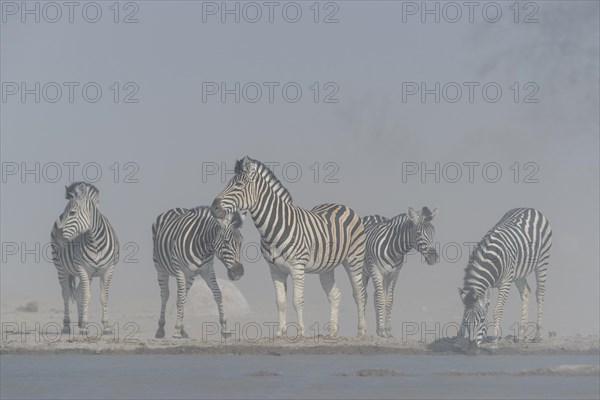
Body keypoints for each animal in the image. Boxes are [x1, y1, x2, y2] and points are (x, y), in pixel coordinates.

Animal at [50, 182, 119, 334]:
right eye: (65, 212)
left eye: (72, 213)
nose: (58, 236)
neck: (95, 241)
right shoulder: (83, 269)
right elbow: (86, 297)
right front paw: (86, 326)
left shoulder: (108, 270)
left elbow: (103, 296)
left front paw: (106, 327)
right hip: (61, 268)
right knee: (66, 293)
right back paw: (66, 325)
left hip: (89, 274)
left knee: (77, 292)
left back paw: (80, 322)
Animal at [152, 205, 246, 340]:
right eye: (226, 241)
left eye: (241, 242)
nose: (239, 272)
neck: (203, 246)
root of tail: (175, 209)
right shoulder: (179, 269)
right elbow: (179, 298)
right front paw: (176, 330)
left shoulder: (207, 269)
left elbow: (218, 294)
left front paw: (225, 328)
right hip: (160, 267)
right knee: (165, 295)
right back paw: (161, 329)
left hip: (190, 275)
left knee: (183, 296)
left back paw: (182, 329)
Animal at [211, 156, 370, 338]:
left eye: (238, 185)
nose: (213, 208)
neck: (272, 229)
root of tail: (342, 205)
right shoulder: (275, 270)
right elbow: (280, 301)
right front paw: (280, 332)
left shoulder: (297, 267)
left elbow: (297, 300)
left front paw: (301, 332)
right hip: (326, 267)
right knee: (335, 295)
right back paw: (331, 331)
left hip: (354, 260)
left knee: (359, 294)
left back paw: (361, 331)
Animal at [360, 208, 440, 336]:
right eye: (418, 233)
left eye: (433, 232)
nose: (434, 258)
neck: (393, 249)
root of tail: (372, 216)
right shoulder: (376, 270)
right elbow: (380, 300)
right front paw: (382, 330)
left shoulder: (394, 274)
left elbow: (388, 301)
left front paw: (387, 330)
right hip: (362, 271)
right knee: (362, 296)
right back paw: (362, 329)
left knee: (375, 295)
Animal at [460, 208, 552, 348]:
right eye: (466, 321)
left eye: (481, 320)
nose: (472, 347)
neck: (490, 259)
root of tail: (530, 209)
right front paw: (457, 339)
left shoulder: (506, 281)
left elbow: (497, 310)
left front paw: (494, 341)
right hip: (519, 273)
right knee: (526, 293)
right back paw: (520, 335)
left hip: (542, 261)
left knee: (540, 293)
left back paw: (537, 336)